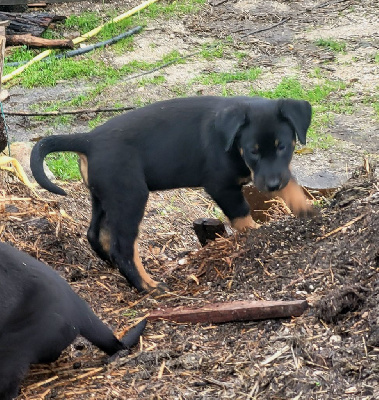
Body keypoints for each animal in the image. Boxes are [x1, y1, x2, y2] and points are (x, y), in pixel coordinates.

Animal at [30, 95, 314, 292]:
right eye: (253, 151)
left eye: (283, 147)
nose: (272, 185)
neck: (232, 143)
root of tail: (89, 140)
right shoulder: (221, 185)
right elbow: (242, 215)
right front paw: (257, 236)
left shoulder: (277, 171)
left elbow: (292, 183)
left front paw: (306, 209)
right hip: (130, 196)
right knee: (124, 247)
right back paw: (148, 286)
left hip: (104, 197)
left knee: (96, 234)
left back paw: (114, 266)